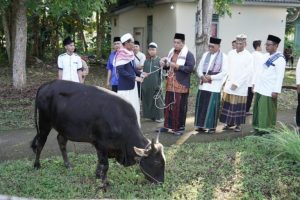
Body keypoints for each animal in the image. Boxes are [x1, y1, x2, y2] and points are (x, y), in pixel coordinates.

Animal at [31, 79, 165, 189]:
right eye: (156, 162)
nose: (161, 182)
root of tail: (47, 84)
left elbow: (100, 163)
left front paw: (97, 176)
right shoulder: (101, 144)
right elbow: (105, 165)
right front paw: (103, 184)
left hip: (63, 128)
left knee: (61, 141)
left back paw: (68, 165)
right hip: (44, 123)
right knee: (40, 143)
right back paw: (37, 165)